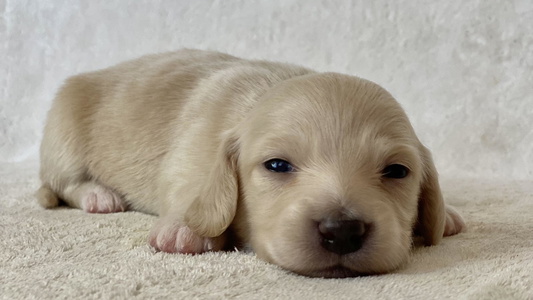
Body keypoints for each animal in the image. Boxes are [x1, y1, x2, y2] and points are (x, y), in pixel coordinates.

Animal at [36, 48, 462, 276]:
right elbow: (186, 186)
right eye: (277, 166)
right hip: (63, 130)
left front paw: (447, 213)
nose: (342, 231)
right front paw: (186, 229)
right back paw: (99, 195)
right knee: (64, 183)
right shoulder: (191, 151)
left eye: (397, 171)